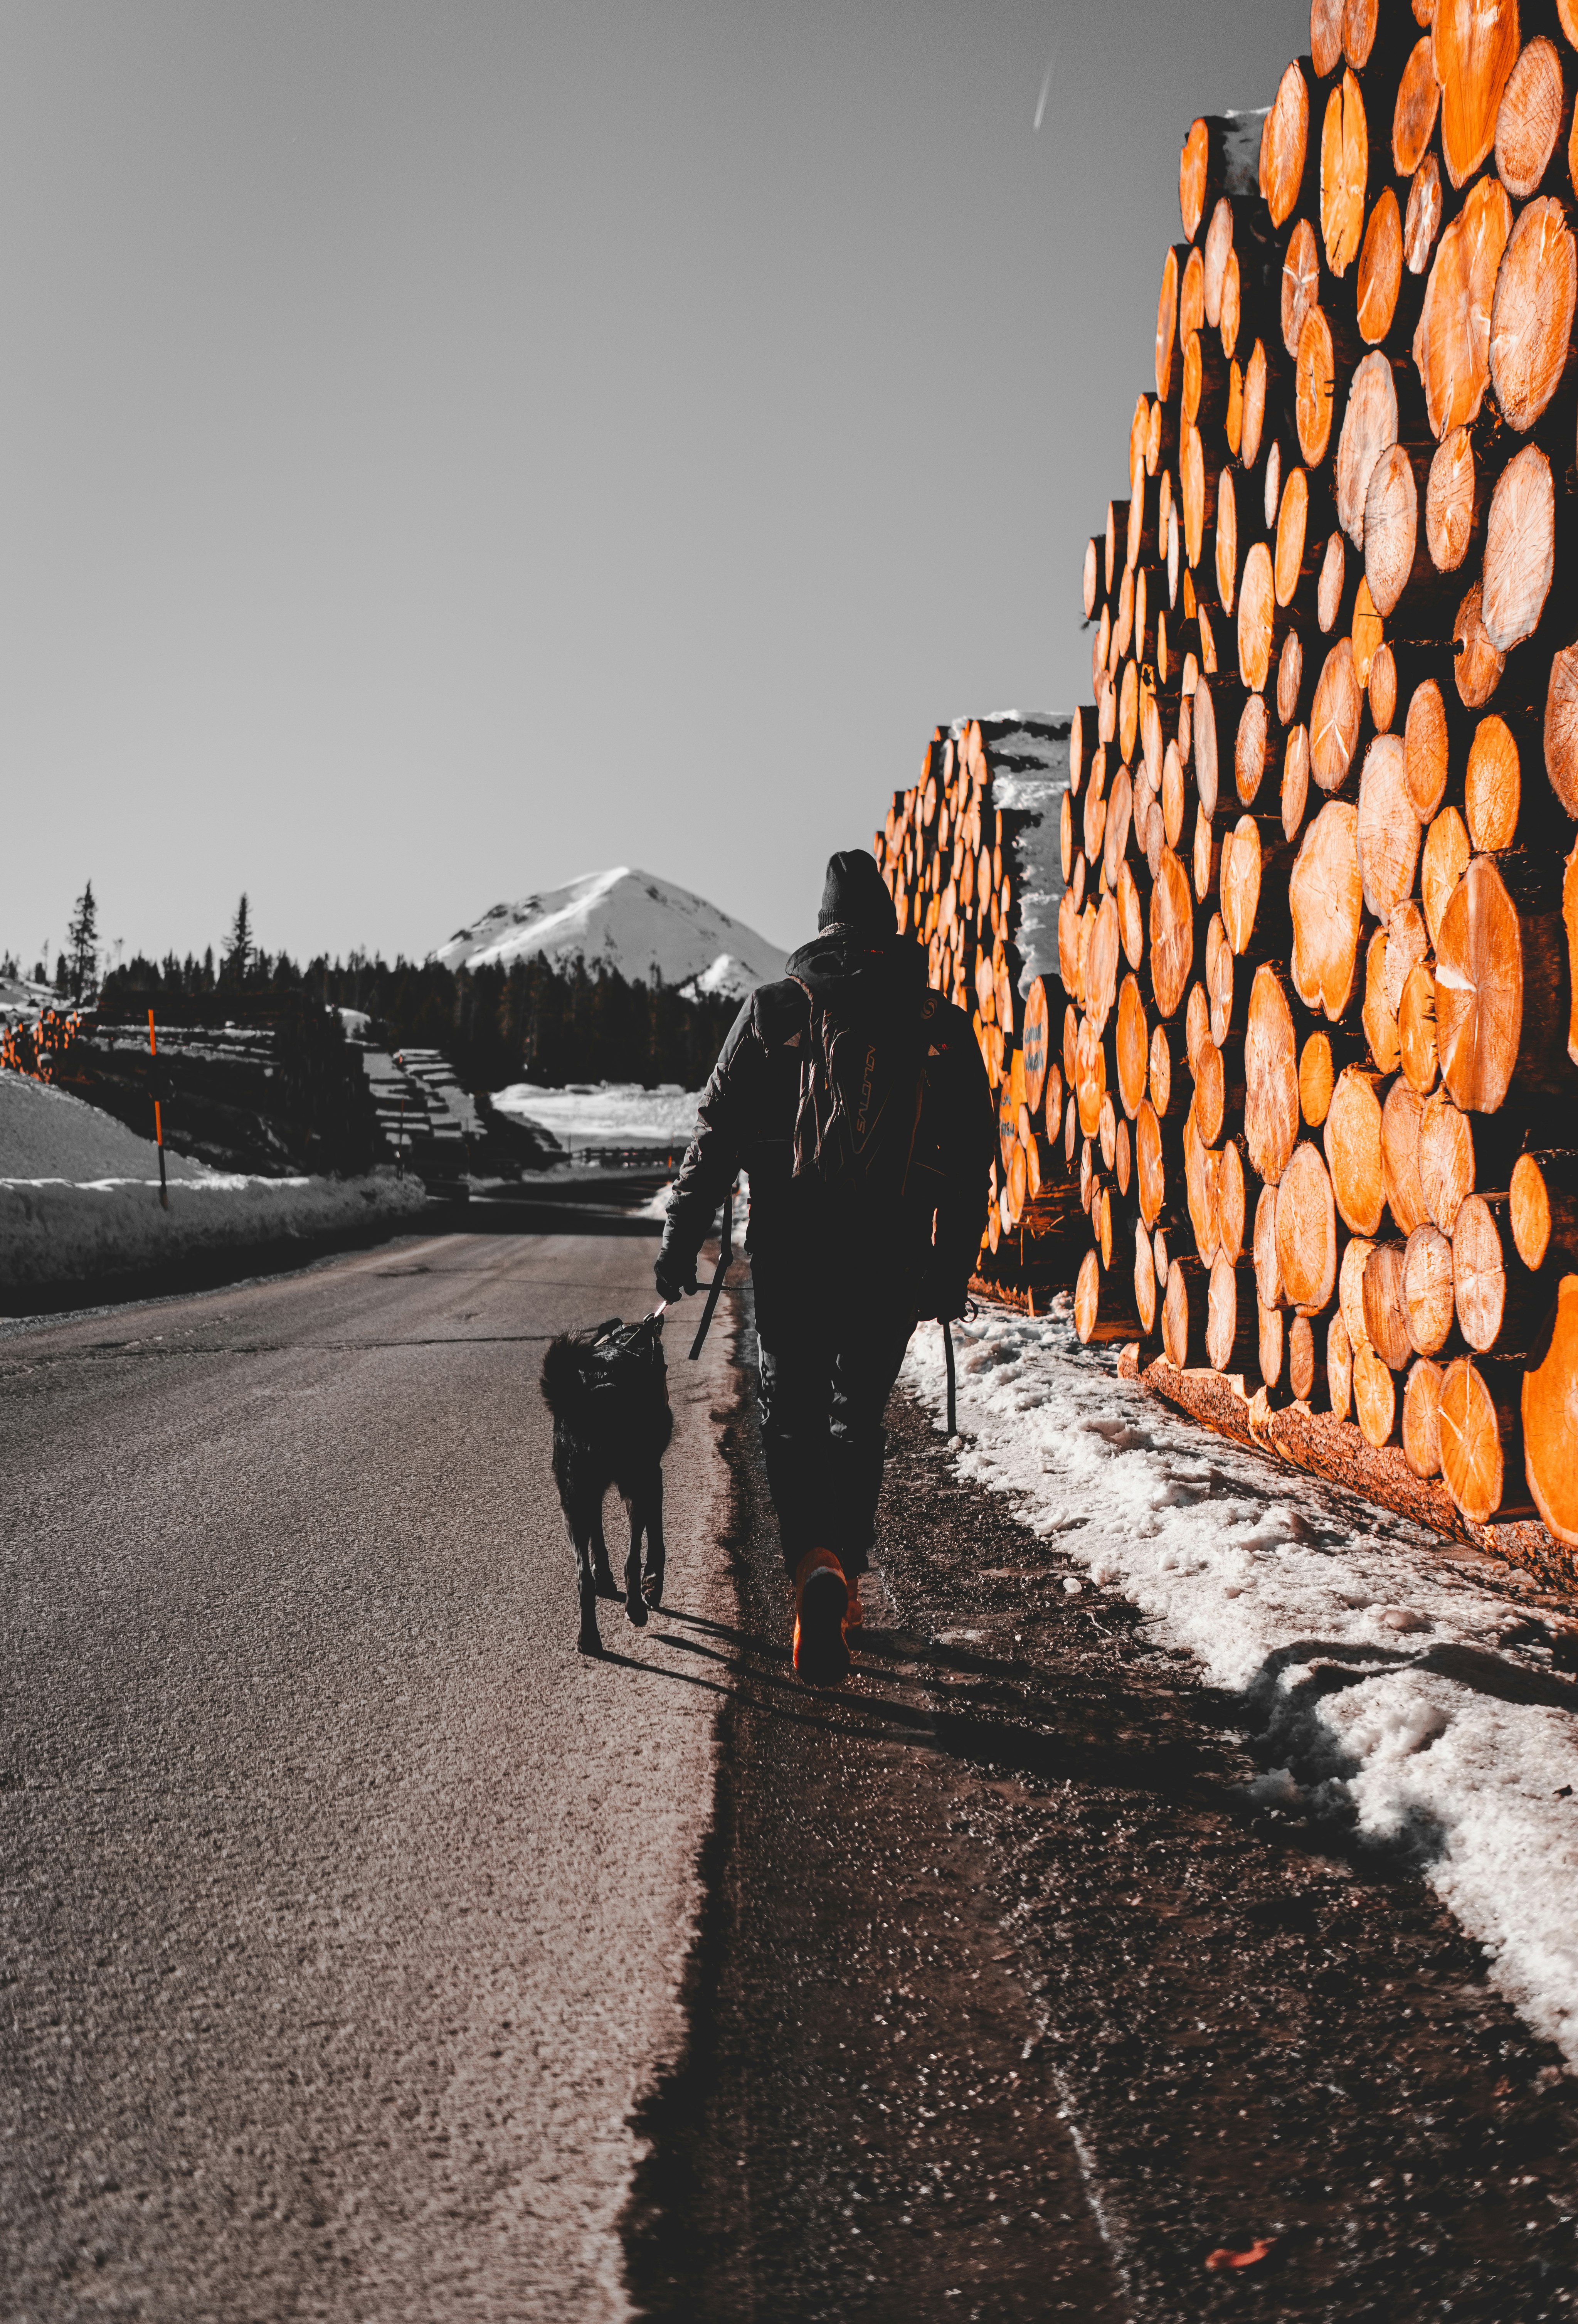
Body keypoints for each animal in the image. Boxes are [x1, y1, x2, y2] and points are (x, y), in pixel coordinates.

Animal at [539, 1320, 674, 1664]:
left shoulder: (593, 1495)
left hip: (573, 1498)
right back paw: (636, 1608)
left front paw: (603, 1576)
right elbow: (656, 1540)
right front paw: (653, 1585)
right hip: (635, 1483)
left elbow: (597, 1539)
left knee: (582, 1578)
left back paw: (588, 1638)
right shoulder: (653, 1476)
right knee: (632, 1557)